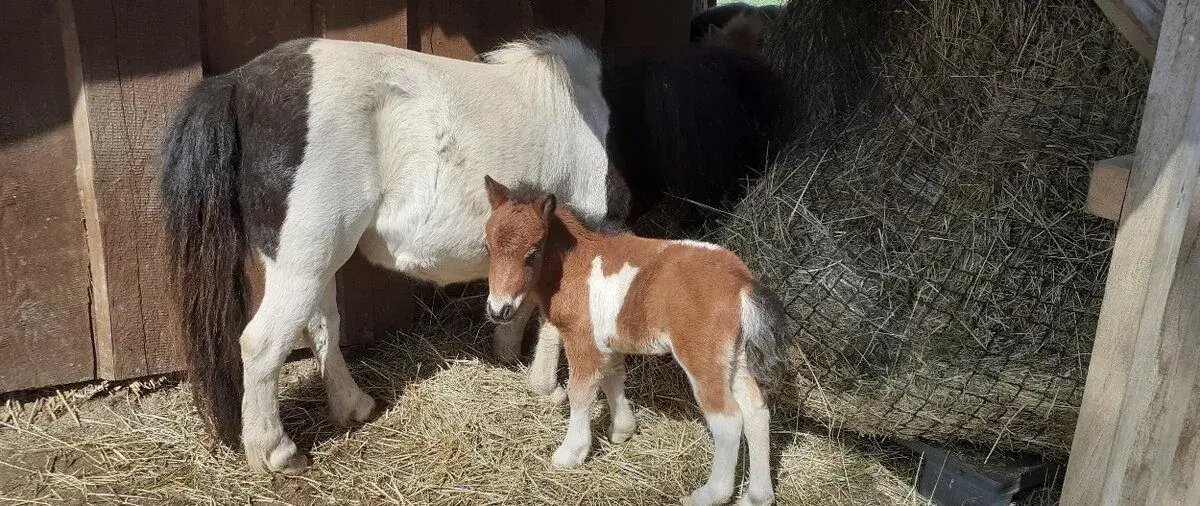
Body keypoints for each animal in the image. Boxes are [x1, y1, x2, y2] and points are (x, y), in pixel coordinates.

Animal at [160, 33, 628, 474]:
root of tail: (239, 83)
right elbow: (557, 321)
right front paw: (547, 387)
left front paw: (510, 352)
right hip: (304, 262)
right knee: (262, 343)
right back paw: (276, 451)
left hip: (314, 260)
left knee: (321, 325)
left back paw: (352, 406)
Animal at [482, 176, 789, 506]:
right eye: (487, 247)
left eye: (533, 251)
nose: (499, 310)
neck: (576, 264)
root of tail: (741, 282)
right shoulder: (608, 342)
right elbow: (612, 378)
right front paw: (622, 430)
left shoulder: (582, 339)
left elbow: (580, 393)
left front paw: (571, 453)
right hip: (735, 359)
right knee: (757, 412)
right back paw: (757, 496)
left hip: (702, 358)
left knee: (729, 420)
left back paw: (709, 494)